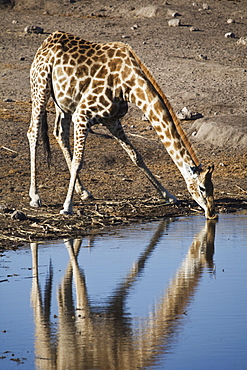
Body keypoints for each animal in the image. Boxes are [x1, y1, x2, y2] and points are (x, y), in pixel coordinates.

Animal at [27, 31, 216, 218]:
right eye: (202, 188)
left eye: (213, 187)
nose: (212, 213)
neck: (129, 86)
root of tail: (46, 42)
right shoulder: (83, 115)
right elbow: (78, 162)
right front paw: (67, 206)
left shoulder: (112, 120)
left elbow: (136, 156)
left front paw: (168, 196)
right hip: (40, 88)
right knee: (33, 133)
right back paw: (35, 196)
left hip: (64, 103)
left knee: (60, 133)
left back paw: (84, 192)